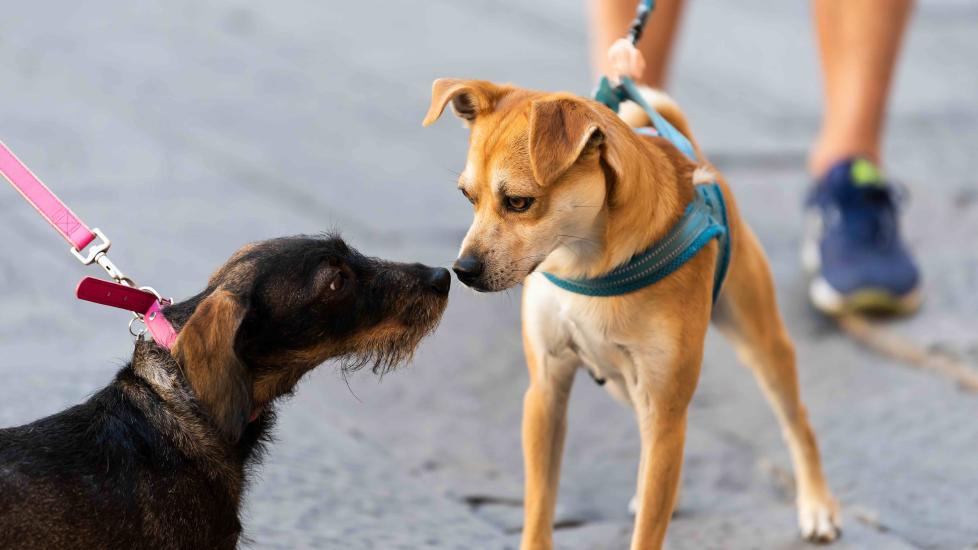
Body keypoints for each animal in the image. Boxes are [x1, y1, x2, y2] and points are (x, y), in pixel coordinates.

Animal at [420, 78, 840, 550]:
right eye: (468, 197)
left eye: (519, 202)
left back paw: (816, 505)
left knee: (796, 423)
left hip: (757, 342)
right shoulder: (545, 393)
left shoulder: (664, 406)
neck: (585, 261)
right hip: (628, 386)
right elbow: (539, 506)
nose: (462, 270)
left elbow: (647, 529)